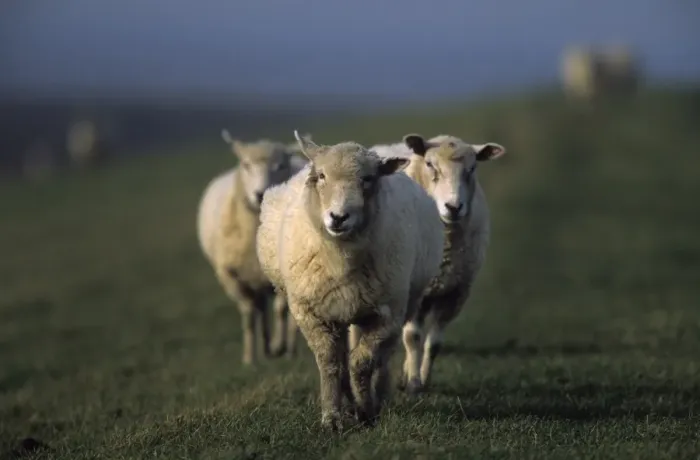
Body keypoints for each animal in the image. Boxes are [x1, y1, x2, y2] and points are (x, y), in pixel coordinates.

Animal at [196, 129, 308, 365]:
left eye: (280, 165)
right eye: (246, 165)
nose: (259, 194)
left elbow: (281, 310)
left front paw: (281, 347)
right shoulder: (231, 275)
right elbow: (249, 314)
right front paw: (249, 359)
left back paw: (282, 347)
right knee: (260, 308)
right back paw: (264, 349)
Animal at [256, 131, 445, 430]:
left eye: (367, 179)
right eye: (321, 175)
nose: (338, 217)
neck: (341, 257)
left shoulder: (387, 315)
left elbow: (363, 362)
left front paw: (366, 410)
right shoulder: (311, 312)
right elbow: (331, 362)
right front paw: (333, 416)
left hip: (400, 305)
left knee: (384, 357)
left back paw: (377, 395)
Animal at [370, 134, 506, 393]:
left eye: (472, 168)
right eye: (430, 164)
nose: (453, 207)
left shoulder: (454, 294)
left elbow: (433, 344)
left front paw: (423, 380)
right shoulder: (415, 290)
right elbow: (412, 337)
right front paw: (414, 385)